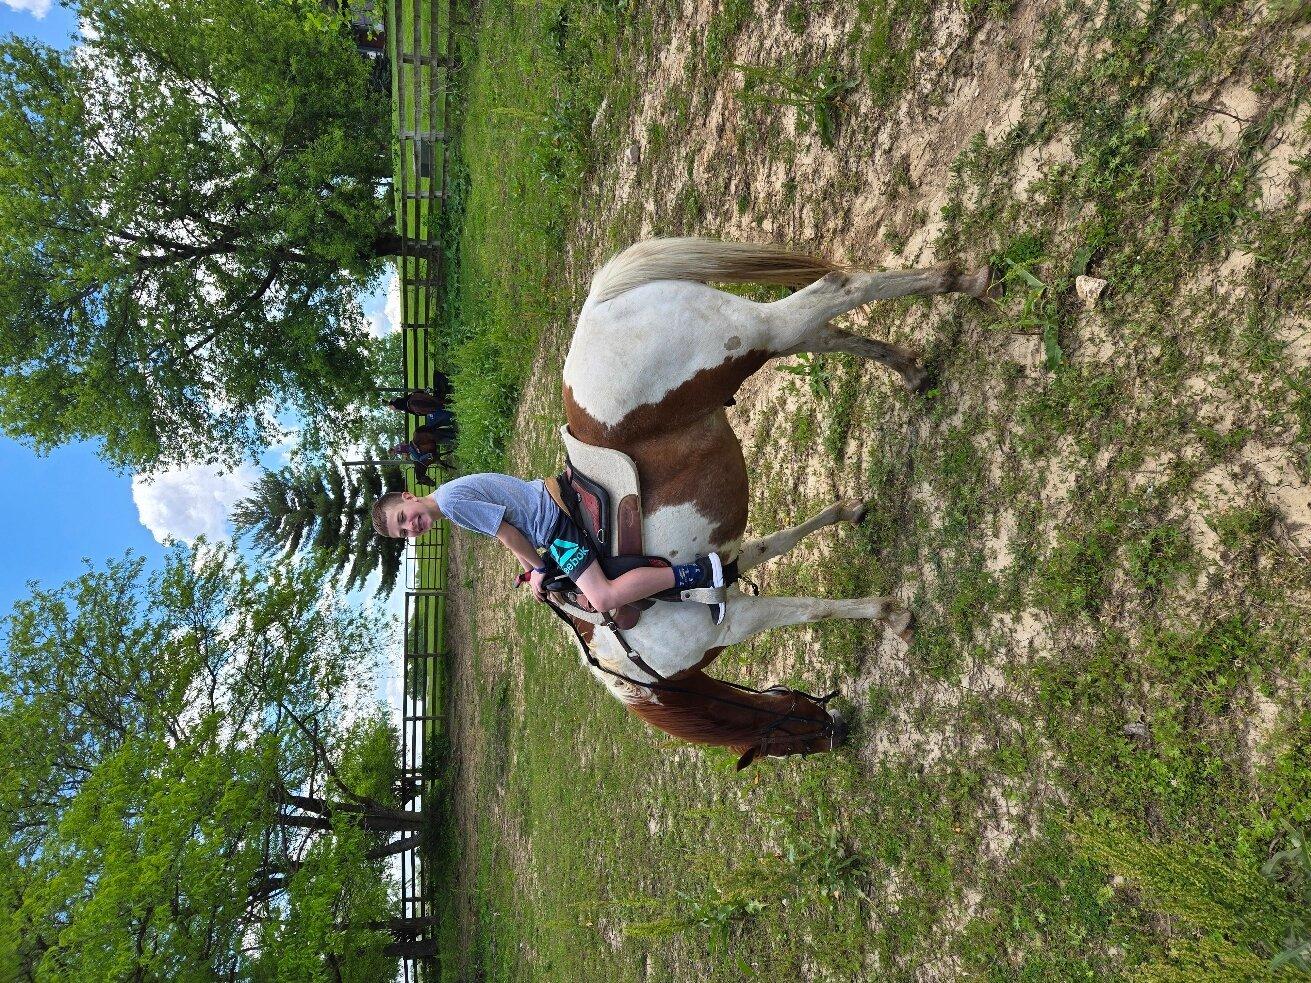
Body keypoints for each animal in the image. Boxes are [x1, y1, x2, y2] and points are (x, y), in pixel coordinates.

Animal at [558, 238, 985, 770]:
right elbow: (782, 542)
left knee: (836, 292)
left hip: (756, 335)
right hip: (762, 345)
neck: (638, 668)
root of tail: (598, 306)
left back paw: (966, 280)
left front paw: (892, 614)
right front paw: (849, 512)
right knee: (824, 334)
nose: (836, 732)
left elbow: (811, 611)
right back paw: (912, 369)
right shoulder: (728, 563)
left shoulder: (736, 621)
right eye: (789, 748)